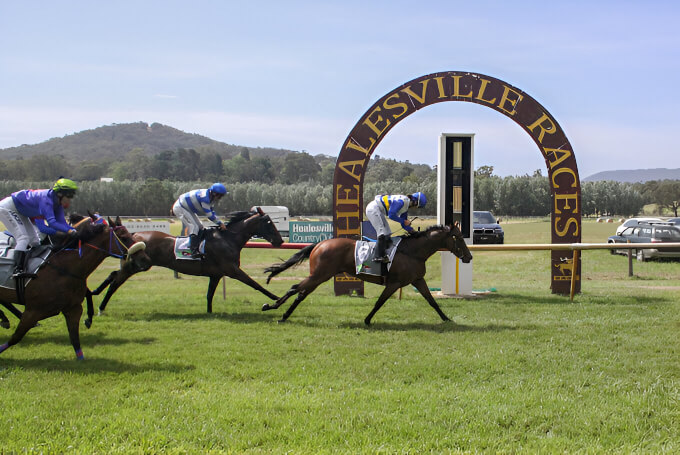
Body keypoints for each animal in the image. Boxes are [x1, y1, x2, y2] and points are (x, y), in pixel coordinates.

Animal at [0, 214, 150, 360]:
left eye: (131, 235)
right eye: (124, 237)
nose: (146, 260)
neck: (64, 268)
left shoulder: (73, 309)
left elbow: (75, 341)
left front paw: (88, 321)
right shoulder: (33, 311)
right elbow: (15, 337)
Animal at [88, 210, 284, 318]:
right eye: (269, 223)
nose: (280, 240)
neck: (228, 239)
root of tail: (134, 236)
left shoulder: (216, 274)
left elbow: (209, 295)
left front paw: (209, 313)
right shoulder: (232, 270)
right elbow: (256, 284)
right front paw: (276, 298)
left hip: (134, 265)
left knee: (113, 275)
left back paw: (95, 292)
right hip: (134, 266)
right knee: (115, 282)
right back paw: (101, 308)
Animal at [262, 224, 476, 324]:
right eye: (458, 237)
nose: (469, 256)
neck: (412, 251)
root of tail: (320, 243)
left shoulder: (418, 280)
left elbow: (432, 301)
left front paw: (446, 319)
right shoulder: (394, 283)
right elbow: (379, 302)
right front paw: (367, 319)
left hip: (320, 276)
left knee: (301, 294)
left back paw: (284, 314)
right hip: (320, 275)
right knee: (294, 288)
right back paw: (272, 307)